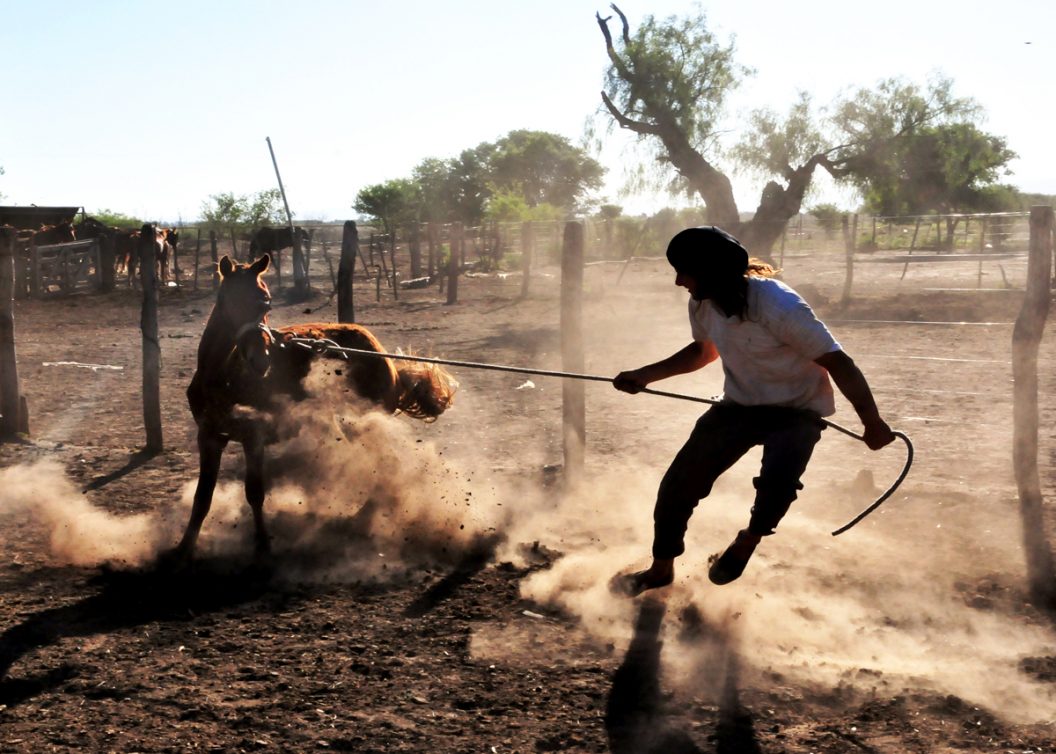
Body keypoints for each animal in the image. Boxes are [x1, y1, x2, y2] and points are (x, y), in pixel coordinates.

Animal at [171, 255, 456, 561]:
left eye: (266, 304)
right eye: (228, 299)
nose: (260, 361)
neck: (221, 376)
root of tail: (384, 358)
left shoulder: (253, 437)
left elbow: (254, 493)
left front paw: (263, 545)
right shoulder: (209, 438)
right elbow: (202, 497)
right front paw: (184, 547)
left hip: (364, 422)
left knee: (385, 464)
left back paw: (361, 519)